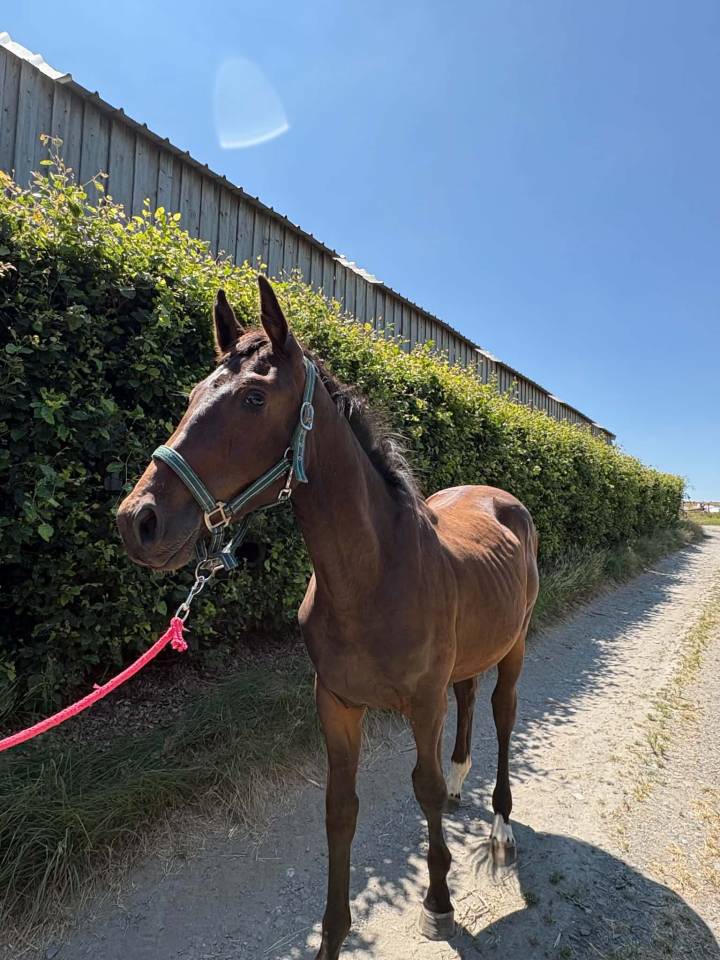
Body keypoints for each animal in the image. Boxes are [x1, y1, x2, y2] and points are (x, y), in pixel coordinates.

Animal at [117, 276, 539, 959]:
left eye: (254, 397)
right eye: (192, 395)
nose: (138, 521)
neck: (372, 577)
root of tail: (503, 501)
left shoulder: (422, 702)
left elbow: (420, 788)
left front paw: (438, 904)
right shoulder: (336, 703)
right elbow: (341, 810)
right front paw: (332, 938)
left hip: (515, 646)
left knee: (503, 714)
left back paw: (499, 828)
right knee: (471, 698)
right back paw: (460, 781)